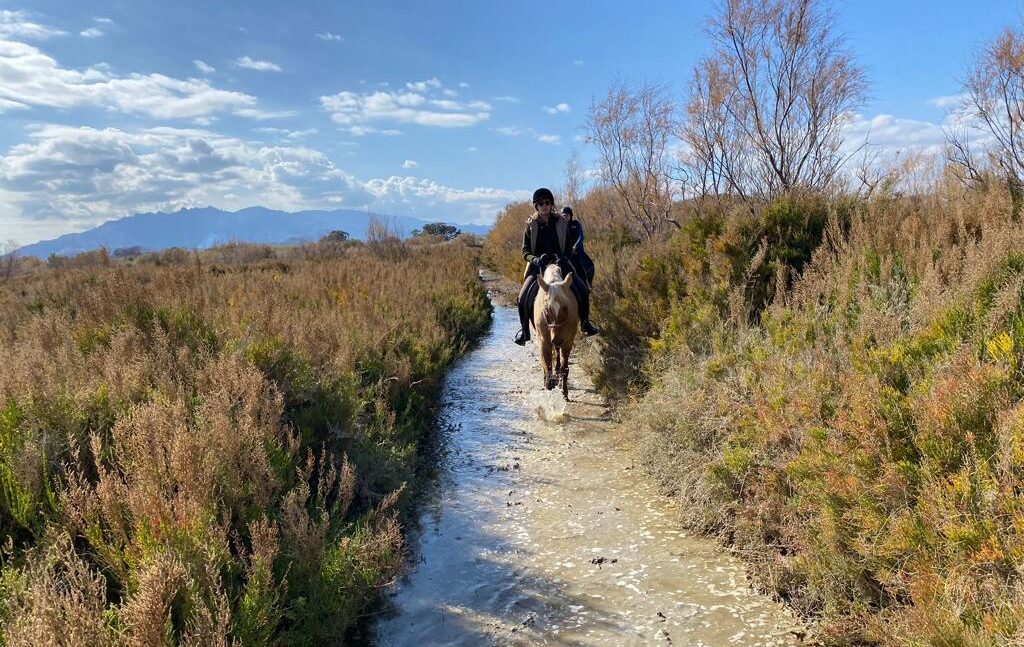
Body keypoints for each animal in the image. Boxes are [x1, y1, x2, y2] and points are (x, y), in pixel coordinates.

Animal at [532, 260, 581, 397]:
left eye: (565, 308)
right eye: (546, 310)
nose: (557, 340)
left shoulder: (567, 341)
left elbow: (564, 367)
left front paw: (564, 391)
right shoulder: (544, 341)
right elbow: (547, 366)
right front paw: (549, 385)